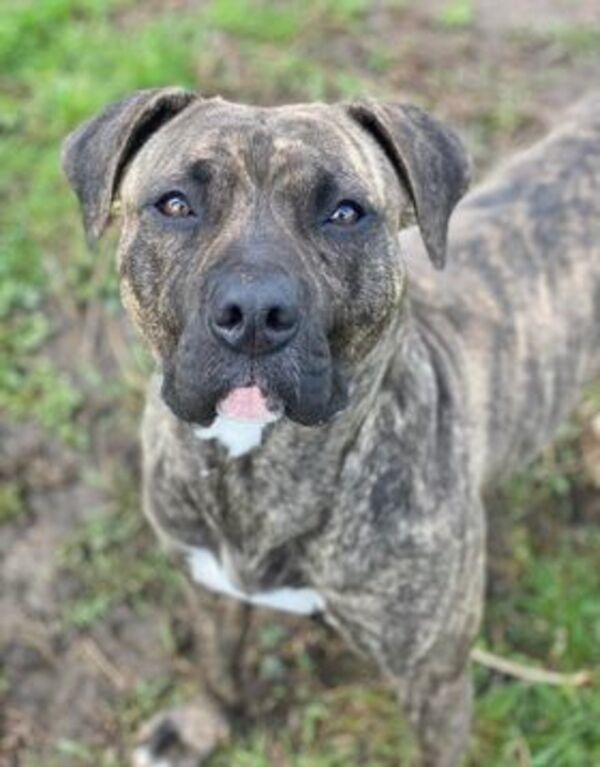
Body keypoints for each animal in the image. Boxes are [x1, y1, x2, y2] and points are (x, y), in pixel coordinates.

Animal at [62, 91, 600, 767]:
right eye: (176, 204)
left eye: (345, 213)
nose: (254, 312)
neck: (259, 471)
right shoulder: (206, 583)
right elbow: (217, 664)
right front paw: (202, 725)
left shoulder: (434, 677)